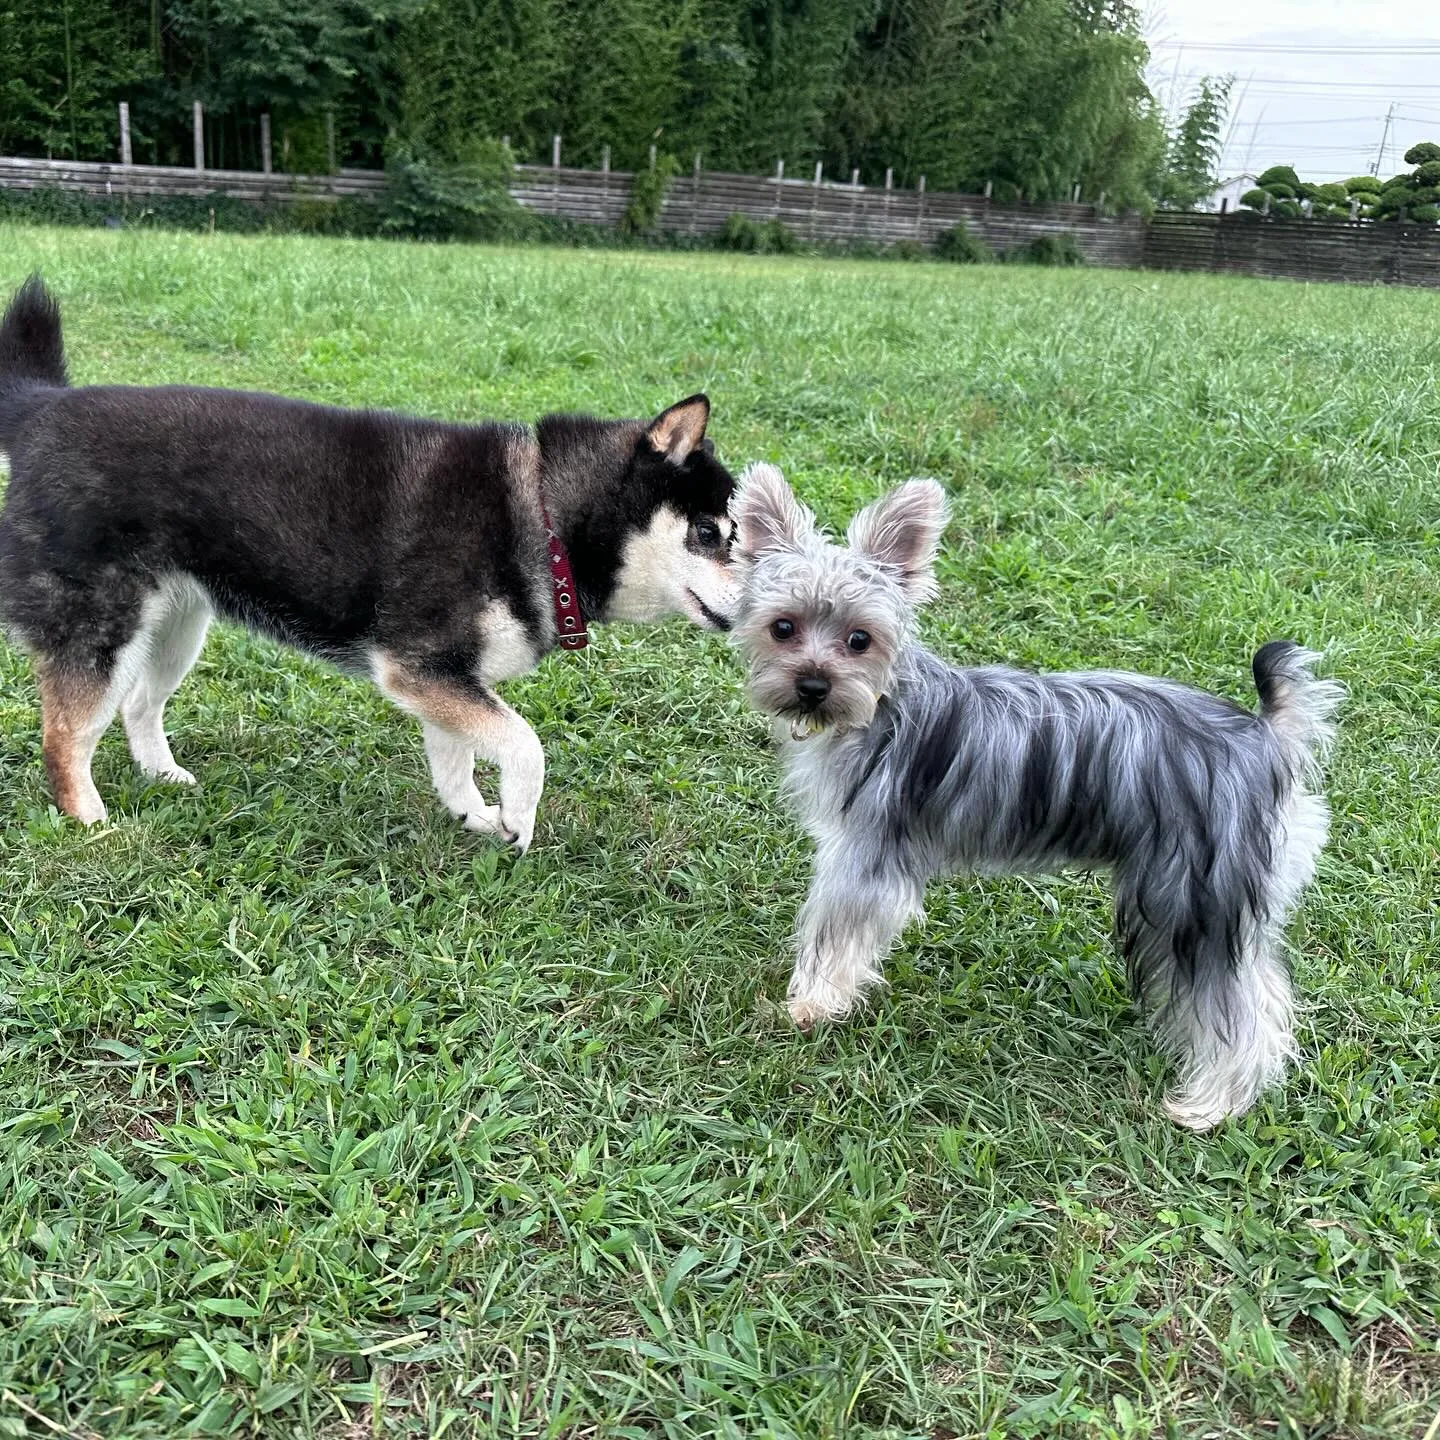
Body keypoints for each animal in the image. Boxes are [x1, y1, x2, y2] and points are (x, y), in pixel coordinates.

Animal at [0, 275, 737, 846]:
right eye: (710, 532)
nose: (760, 609)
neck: (544, 512)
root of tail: (42, 408)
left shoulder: (444, 678)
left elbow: (457, 758)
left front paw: (476, 815)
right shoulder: (417, 665)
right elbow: (525, 744)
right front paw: (520, 818)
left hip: (177, 626)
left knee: (138, 706)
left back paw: (160, 775)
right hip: (104, 628)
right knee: (63, 736)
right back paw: (91, 822)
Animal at [737, 466, 1342, 1128]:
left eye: (859, 639)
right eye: (783, 628)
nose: (813, 686)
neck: (881, 705)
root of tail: (1266, 737)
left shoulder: (864, 858)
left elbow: (834, 936)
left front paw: (811, 1006)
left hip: (1188, 899)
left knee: (1237, 1012)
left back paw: (1211, 1106)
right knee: (1269, 992)